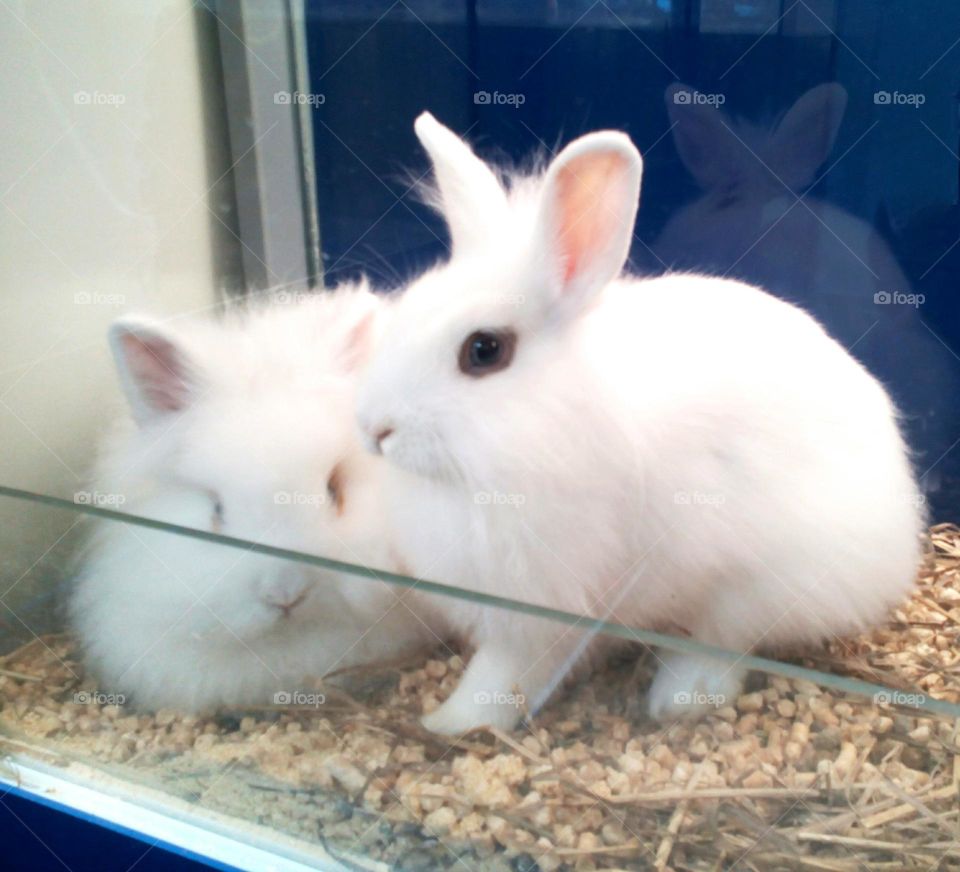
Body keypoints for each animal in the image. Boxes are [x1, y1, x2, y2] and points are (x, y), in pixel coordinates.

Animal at [354, 112, 924, 735]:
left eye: (484, 350)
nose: (373, 429)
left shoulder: (544, 600)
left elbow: (509, 669)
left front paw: (451, 722)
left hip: (763, 583)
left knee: (726, 641)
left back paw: (679, 696)